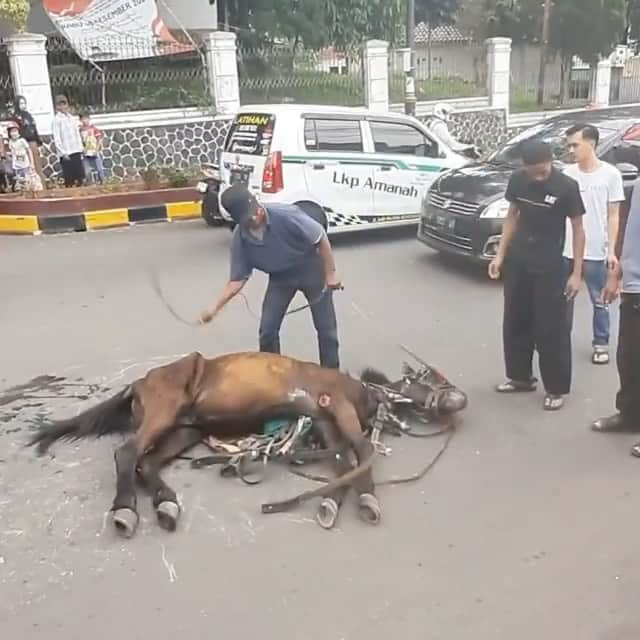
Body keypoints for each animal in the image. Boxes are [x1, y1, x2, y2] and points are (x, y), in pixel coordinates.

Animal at [26, 350, 464, 536]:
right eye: (430, 378)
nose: (459, 400)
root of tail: (137, 384)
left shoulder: (324, 421)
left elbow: (343, 459)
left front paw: (332, 502)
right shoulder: (336, 407)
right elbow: (363, 451)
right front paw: (366, 500)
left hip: (186, 429)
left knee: (146, 464)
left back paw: (166, 506)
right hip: (165, 412)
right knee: (127, 453)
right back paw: (124, 511)